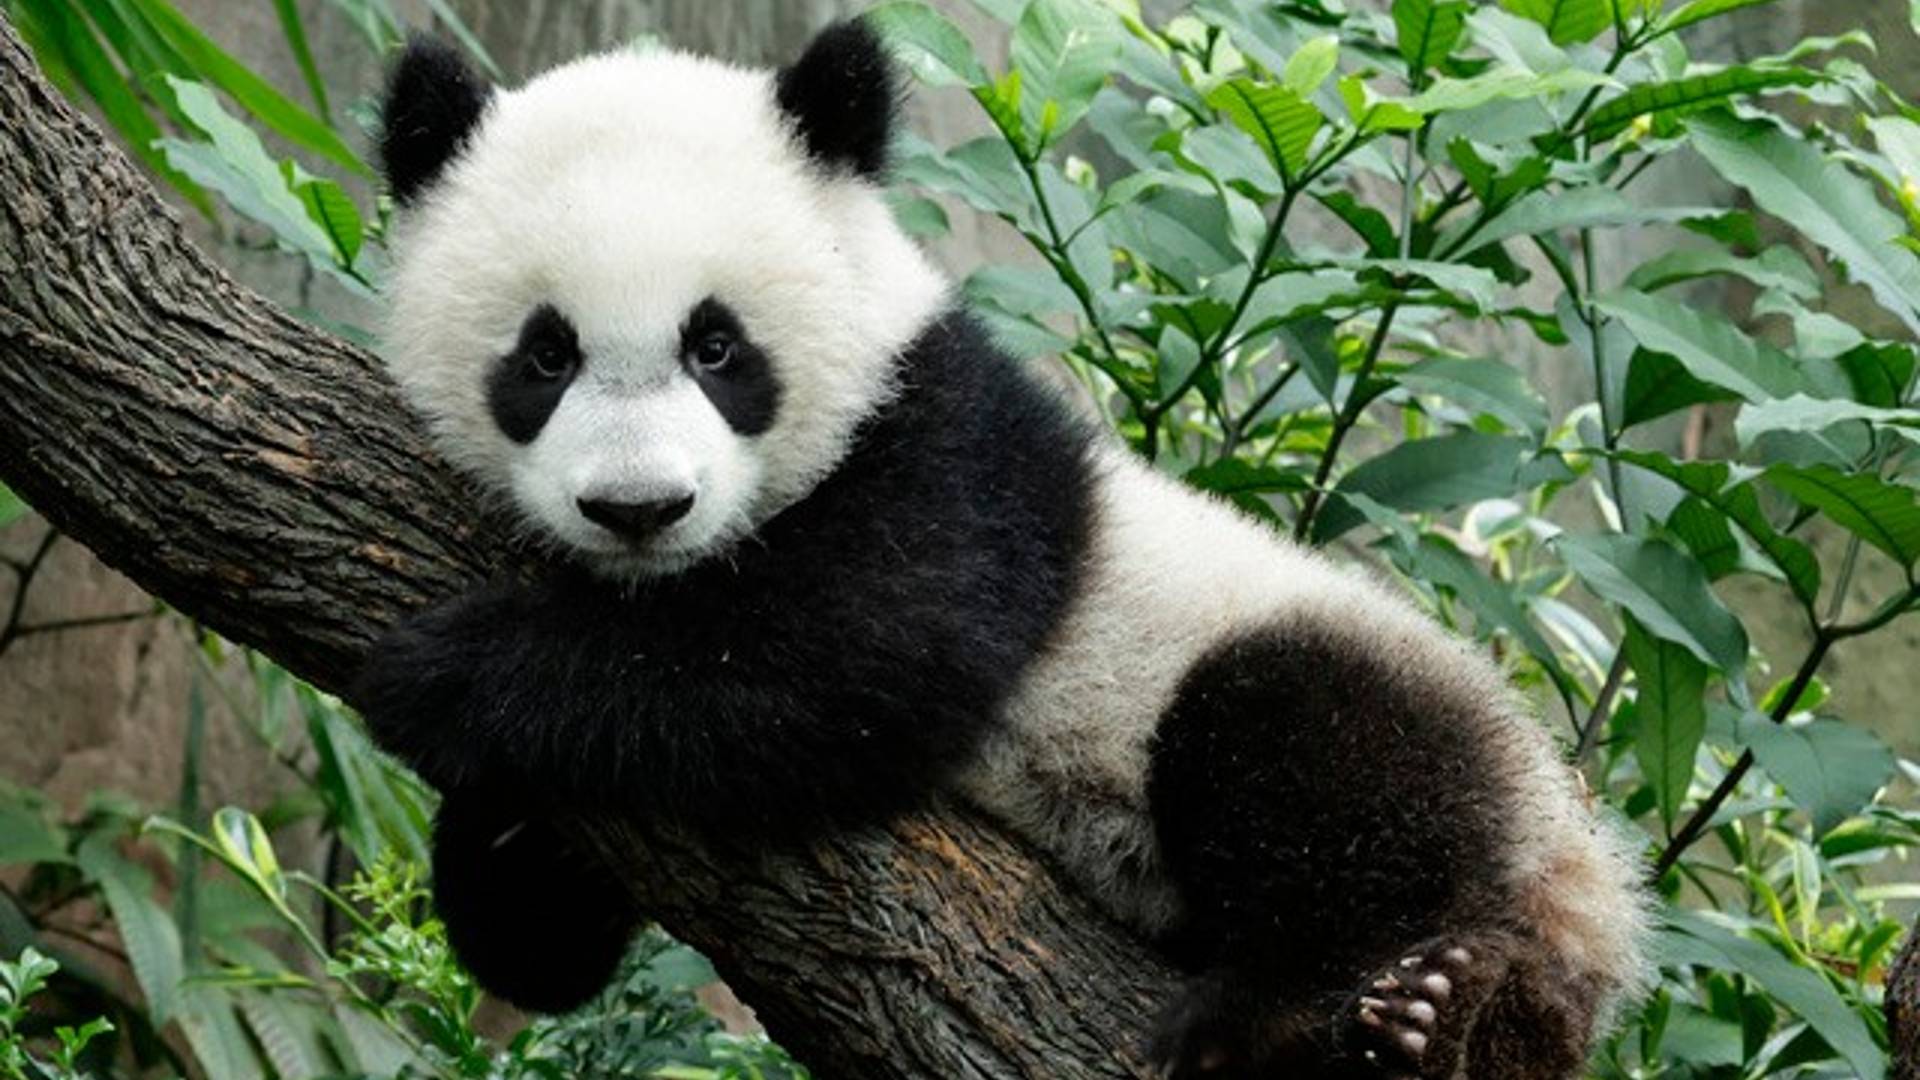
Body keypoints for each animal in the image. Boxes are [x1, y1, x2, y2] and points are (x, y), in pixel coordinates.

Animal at [353, 20, 1652, 1080]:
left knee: (1316, 751)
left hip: (1360, 690)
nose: (638, 509)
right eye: (546, 354)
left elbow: (856, 658)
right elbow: (543, 942)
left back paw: (1299, 1010)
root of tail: (1583, 895)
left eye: (718, 347)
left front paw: (445, 671)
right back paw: (1437, 1028)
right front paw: (493, 827)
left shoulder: (961, 450)